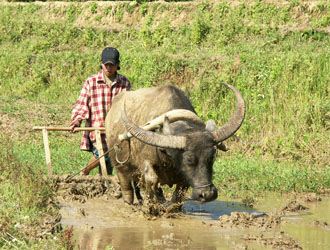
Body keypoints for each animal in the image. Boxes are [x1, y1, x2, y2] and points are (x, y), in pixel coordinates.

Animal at [105, 83, 245, 204]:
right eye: (189, 159)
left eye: (212, 157)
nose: (207, 194)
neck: (169, 157)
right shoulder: (145, 160)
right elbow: (151, 179)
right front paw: (152, 203)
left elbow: (178, 194)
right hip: (119, 166)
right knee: (127, 186)